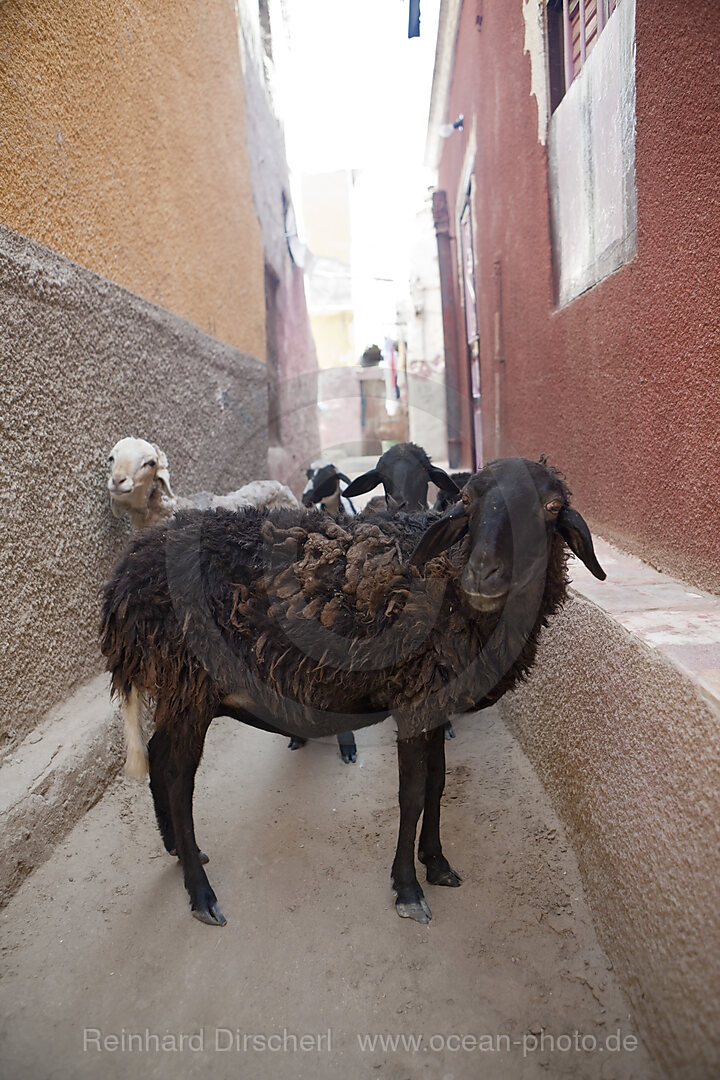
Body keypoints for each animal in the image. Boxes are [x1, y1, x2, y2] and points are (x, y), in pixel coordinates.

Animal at [98, 457, 604, 928]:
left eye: (552, 507)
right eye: (467, 500)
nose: (483, 574)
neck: (448, 578)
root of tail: (127, 572)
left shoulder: (434, 700)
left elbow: (439, 784)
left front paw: (437, 862)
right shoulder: (413, 697)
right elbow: (412, 794)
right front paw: (408, 890)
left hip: (183, 690)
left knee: (158, 755)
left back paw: (177, 849)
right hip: (189, 682)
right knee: (176, 775)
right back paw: (201, 893)